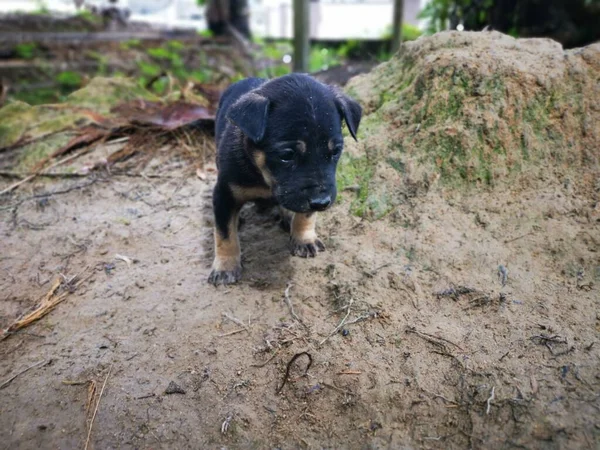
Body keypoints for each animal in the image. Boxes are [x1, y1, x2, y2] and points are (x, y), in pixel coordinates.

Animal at [209, 73, 364, 284]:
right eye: (286, 155)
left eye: (335, 151)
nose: (322, 202)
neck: (264, 179)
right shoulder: (224, 193)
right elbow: (224, 234)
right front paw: (225, 266)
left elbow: (306, 215)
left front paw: (304, 238)